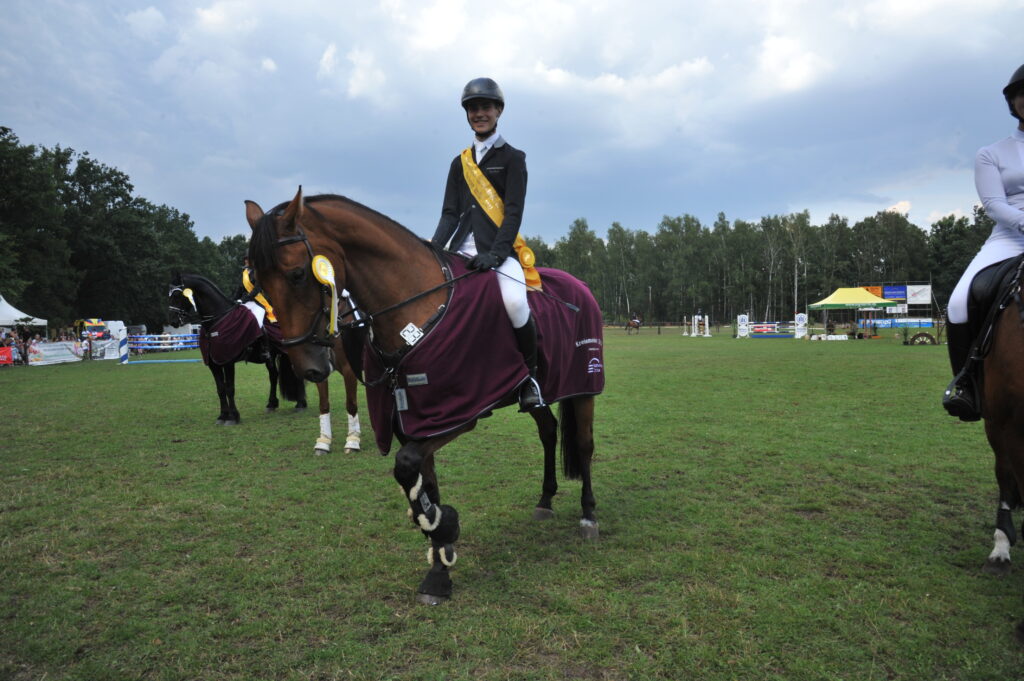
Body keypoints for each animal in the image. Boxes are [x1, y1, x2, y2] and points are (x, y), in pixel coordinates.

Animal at [165, 270, 362, 450]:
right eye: (170, 295)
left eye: (177, 295)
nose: (173, 321)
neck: (218, 320)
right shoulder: (214, 364)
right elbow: (220, 389)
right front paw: (222, 416)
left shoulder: (228, 361)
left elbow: (229, 388)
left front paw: (233, 416)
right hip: (272, 356)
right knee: (274, 376)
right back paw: (272, 404)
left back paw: (300, 404)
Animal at [246, 188, 598, 602]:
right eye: (258, 283)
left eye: (299, 274)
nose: (310, 367)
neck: (414, 306)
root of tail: (580, 286)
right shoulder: (416, 422)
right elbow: (422, 481)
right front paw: (439, 562)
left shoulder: (458, 413)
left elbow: (406, 467)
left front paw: (445, 527)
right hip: (537, 399)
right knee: (548, 429)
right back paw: (544, 500)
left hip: (586, 386)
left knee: (584, 445)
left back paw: (588, 516)